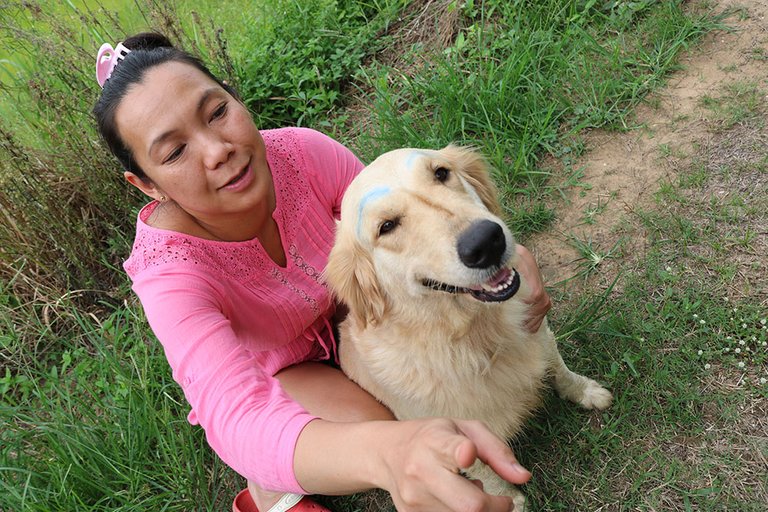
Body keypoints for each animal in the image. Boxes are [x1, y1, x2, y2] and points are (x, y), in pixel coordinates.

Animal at [324, 145, 612, 508]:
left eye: (441, 173)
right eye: (386, 226)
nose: (486, 242)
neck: (476, 335)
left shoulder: (538, 328)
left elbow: (559, 369)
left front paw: (586, 392)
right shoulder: (449, 434)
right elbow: (486, 473)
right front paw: (511, 502)